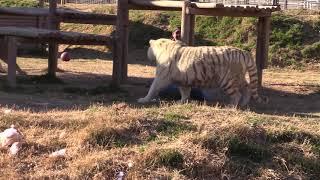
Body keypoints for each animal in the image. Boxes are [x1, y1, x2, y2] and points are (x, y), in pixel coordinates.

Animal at [138, 37, 268, 105]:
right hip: (239, 77)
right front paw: (181, 102)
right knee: (247, 88)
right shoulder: (183, 79)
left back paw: (231, 106)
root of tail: (244, 52)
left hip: (228, 80)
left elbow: (153, 88)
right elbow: (185, 92)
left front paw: (143, 99)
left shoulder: (162, 77)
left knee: (236, 94)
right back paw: (244, 103)